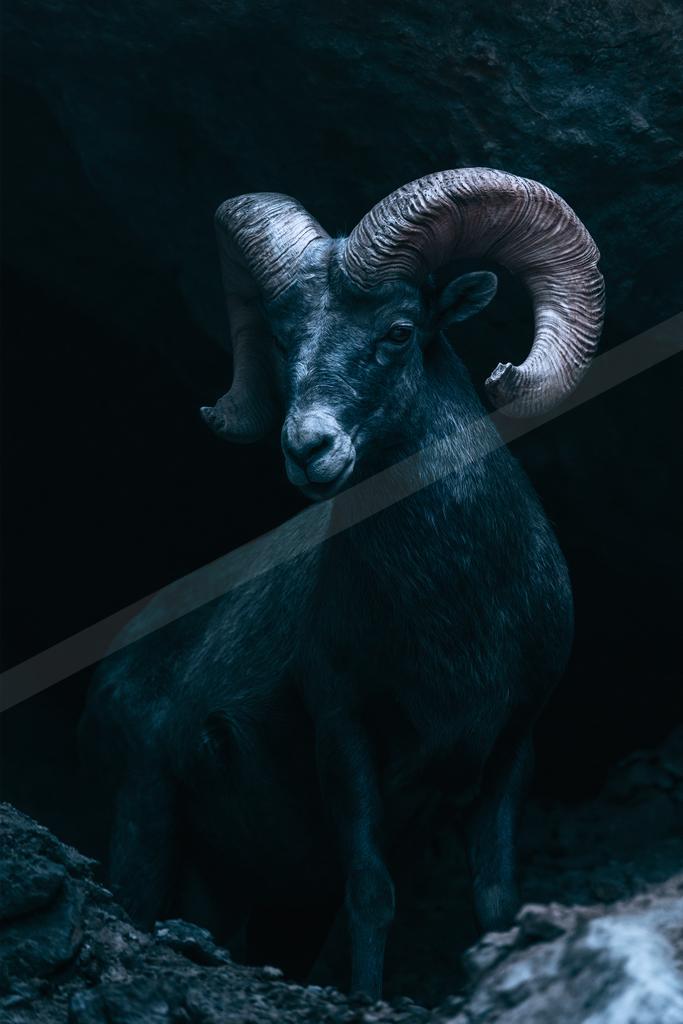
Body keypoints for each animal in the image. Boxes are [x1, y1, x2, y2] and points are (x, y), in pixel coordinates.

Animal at [80, 167, 604, 997]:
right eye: (284, 339)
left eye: (397, 331)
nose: (308, 449)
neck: (455, 616)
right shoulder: (346, 734)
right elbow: (370, 891)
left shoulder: (508, 750)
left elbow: (495, 898)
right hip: (145, 812)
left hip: (224, 878)